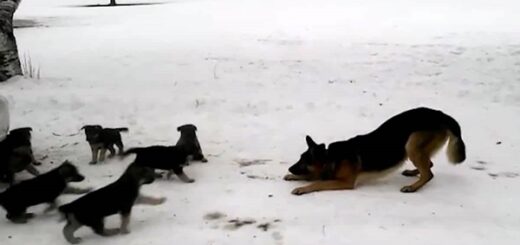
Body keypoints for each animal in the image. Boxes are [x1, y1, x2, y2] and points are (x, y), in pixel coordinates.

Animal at [284, 107, 468, 195]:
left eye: (304, 161)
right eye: (300, 159)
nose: (289, 168)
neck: (332, 157)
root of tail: (440, 114)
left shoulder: (345, 182)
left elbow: (317, 182)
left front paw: (302, 188)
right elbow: (313, 177)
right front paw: (292, 177)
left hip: (411, 145)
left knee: (429, 173)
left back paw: (412, 188)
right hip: (416, 149)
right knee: (429, 165)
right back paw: (412, 173)